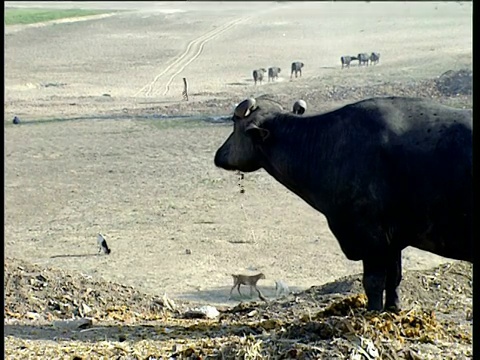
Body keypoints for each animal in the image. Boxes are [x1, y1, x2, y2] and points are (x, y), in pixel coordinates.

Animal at [215, 96, 472, 312]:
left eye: (235, 124)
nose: (219, 155)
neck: (327, 144)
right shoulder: (392, 241)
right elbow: (394, 278)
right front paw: (393, 308)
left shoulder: (370, 237)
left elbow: (373, 282)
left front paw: (373, 311)